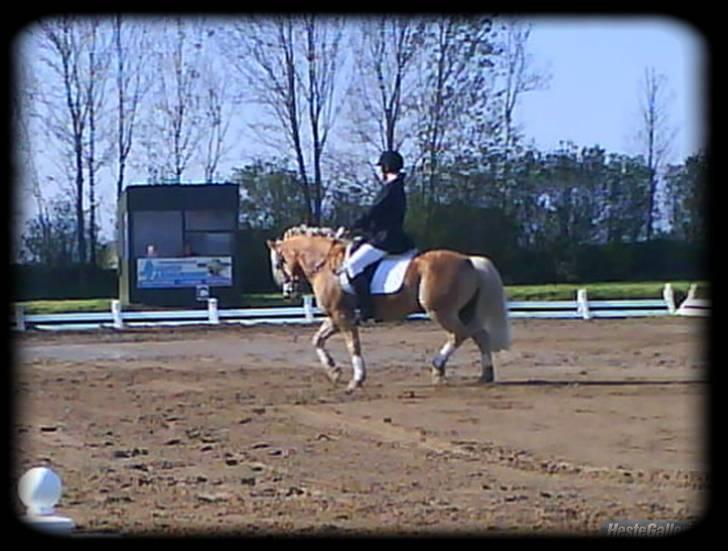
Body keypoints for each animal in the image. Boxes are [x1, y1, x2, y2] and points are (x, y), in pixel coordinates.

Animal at [264, 225, 510, 392]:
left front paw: (356, 380)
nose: (288, 292)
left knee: (459, 335)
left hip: (442, 312)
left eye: (278, 263)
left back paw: (438, 369)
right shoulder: (335, 317)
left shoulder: (343, 317)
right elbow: (318, 340)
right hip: (464, 311)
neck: (326, 264)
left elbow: (353, 346)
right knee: (480, 336)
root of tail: (469, 260)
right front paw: (334, 371)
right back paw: (485, 375)